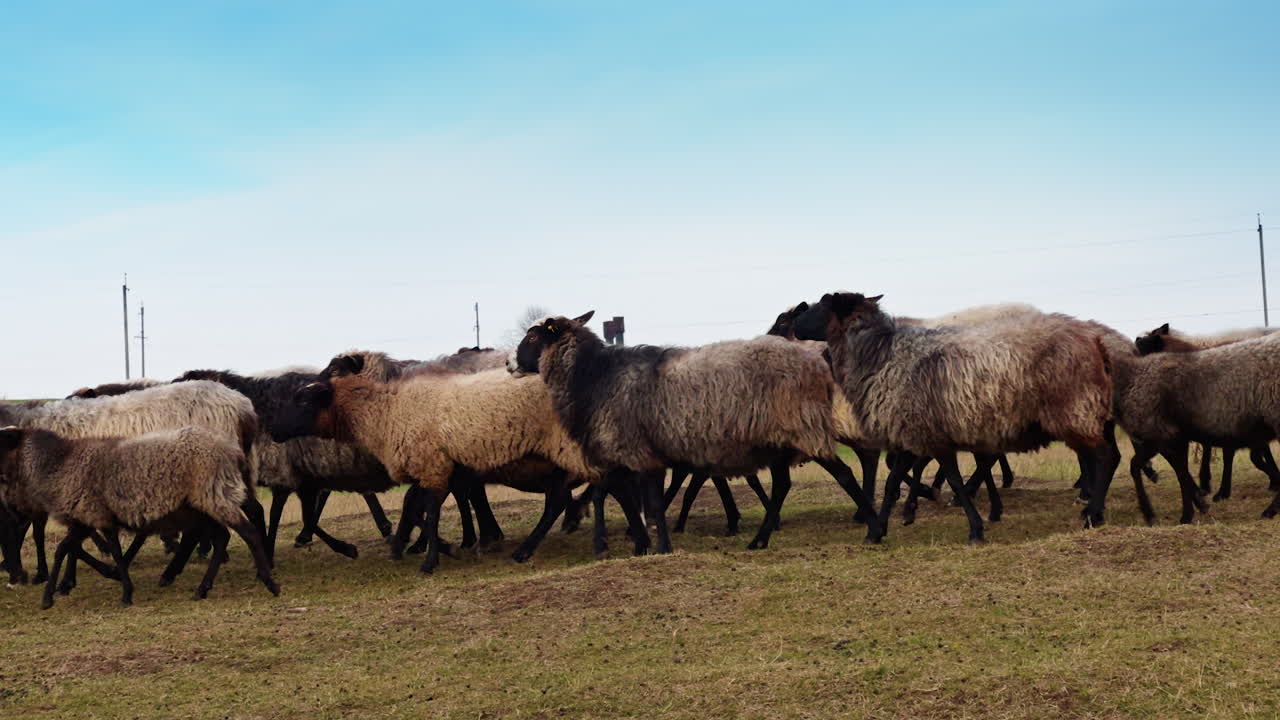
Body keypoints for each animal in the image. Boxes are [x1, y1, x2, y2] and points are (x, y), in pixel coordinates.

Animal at [0, 381, 263, 592]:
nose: (15, 577)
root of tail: (241, 406)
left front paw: (65, 580)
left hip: (209, 481)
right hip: (228, 477)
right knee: (251, 511)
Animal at [268, 367, 631, 574]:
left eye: (304, 401)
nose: (273, 430)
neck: (385, 413)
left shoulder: (432, 464)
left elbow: (428, 511)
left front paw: (430, 559)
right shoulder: (443, 466)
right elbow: (415, 507)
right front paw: (408, 545)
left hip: (569, 445)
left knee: (597, 486)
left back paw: (594, 542)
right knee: (566, 496)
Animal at [510, 311, 885, 550]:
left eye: (532, 336)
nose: (510, 364)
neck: (591, 377)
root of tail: (818, 364)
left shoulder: (634, 451)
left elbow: (647, 502)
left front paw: (658, 547)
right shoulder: (633, 455)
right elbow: (629, 500)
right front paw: (643, 545)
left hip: (802, 427)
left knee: (843, 473)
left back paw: (874, 529)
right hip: (779, 439)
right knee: (782, 486)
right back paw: (760, 540)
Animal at [791, 293, 1117, 541]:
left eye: (823, 303)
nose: (796, 325)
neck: (882, 357)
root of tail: (1094, 340)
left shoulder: (930, 435)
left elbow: (954, 480)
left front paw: (974, 528)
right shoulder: (911, 434)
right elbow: (893, 481)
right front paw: (878, 530)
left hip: (1076, 409)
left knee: (1106, 457)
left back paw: (1093, 513)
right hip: (1086, 412)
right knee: (1104, 455)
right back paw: (1091, 510)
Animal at [1110, 332, 1280, 523]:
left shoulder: (1159, 436)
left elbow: (1139, 466)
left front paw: (1152, 513)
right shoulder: (1175, 439)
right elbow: (1181, 471)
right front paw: (1194, 508)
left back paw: (1269, 508)